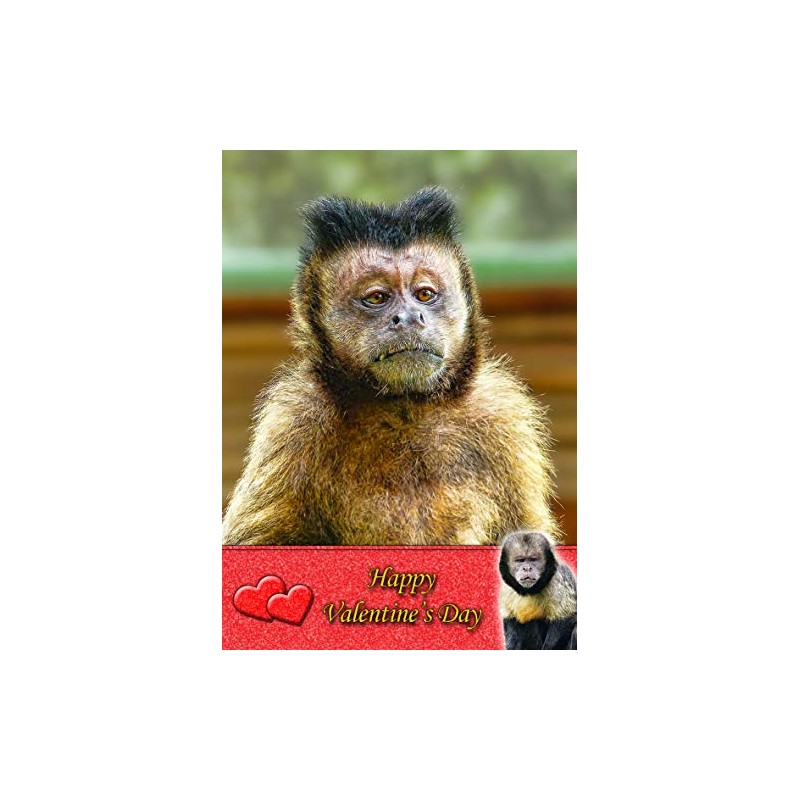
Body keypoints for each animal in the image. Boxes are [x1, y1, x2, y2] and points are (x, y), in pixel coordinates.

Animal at [222, 186, 559, 546]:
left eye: (424, 294)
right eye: (376, 298)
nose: (409, 317)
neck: (405, 408)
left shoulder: (501, 419)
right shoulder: (294, 422)